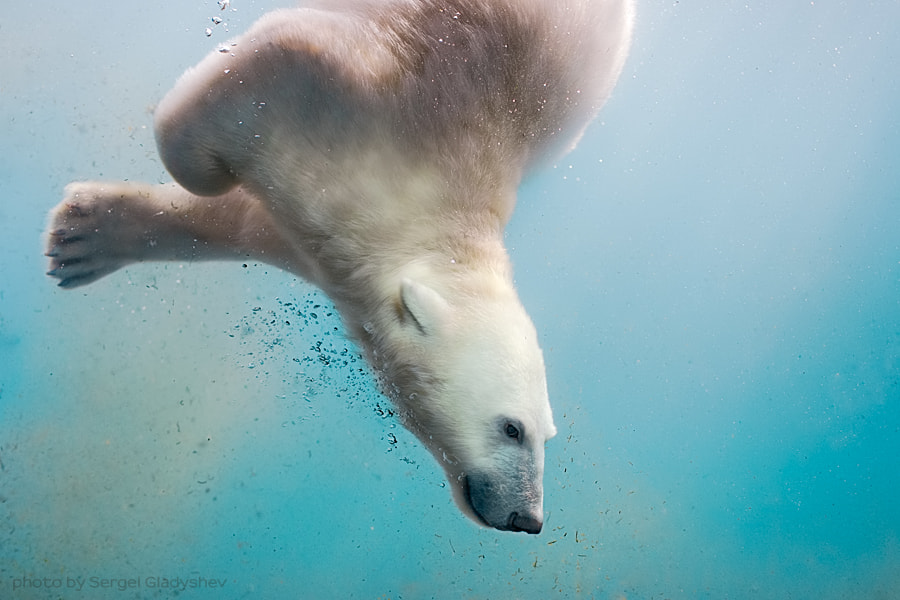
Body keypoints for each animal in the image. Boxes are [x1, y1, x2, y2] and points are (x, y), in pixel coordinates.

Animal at [44, 0, 634, 534]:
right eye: (512, 428)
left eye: (548, 435)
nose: (528, 519)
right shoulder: (369, 90)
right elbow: (257, 83)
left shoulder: (332, 237)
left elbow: (245, 222)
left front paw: (82, 237)